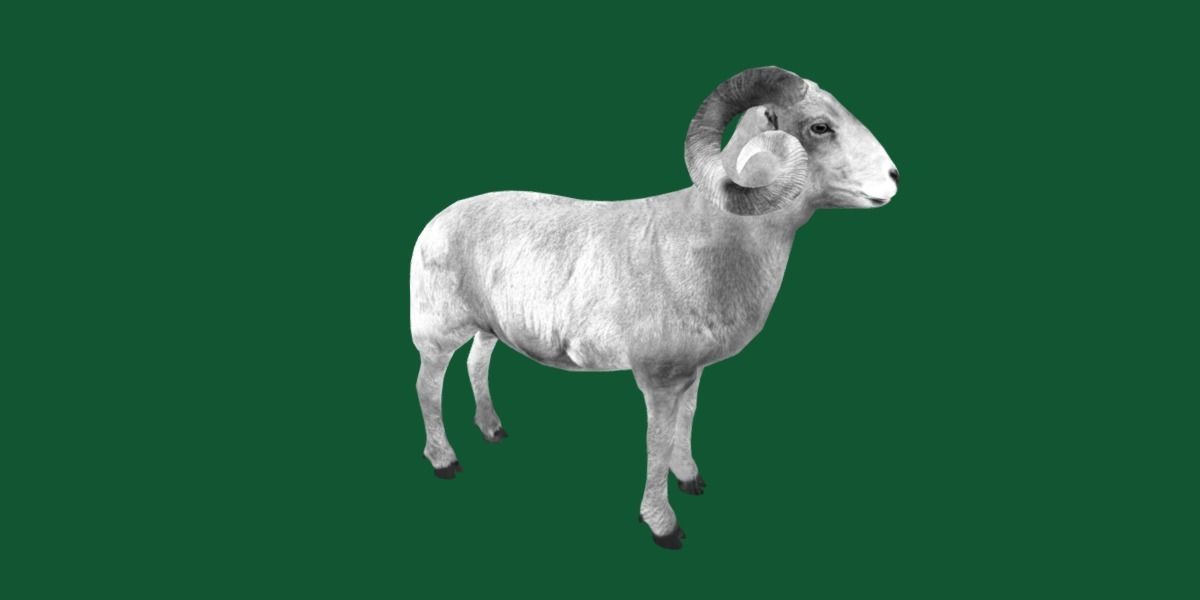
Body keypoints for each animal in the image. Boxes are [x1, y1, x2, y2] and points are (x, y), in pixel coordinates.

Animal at [410, 66, 899, 549]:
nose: (893, 177)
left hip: (487, 327)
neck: (715, 237)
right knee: (427, 387)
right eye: (819, 127)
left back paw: (492, 429)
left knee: (476, 364)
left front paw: (690, 478)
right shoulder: (658, 379)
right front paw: (663, 525)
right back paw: (444, 461)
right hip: (437, 332)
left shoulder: (691, 374)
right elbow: (656, 443)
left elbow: (687, 422)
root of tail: (437, 221)